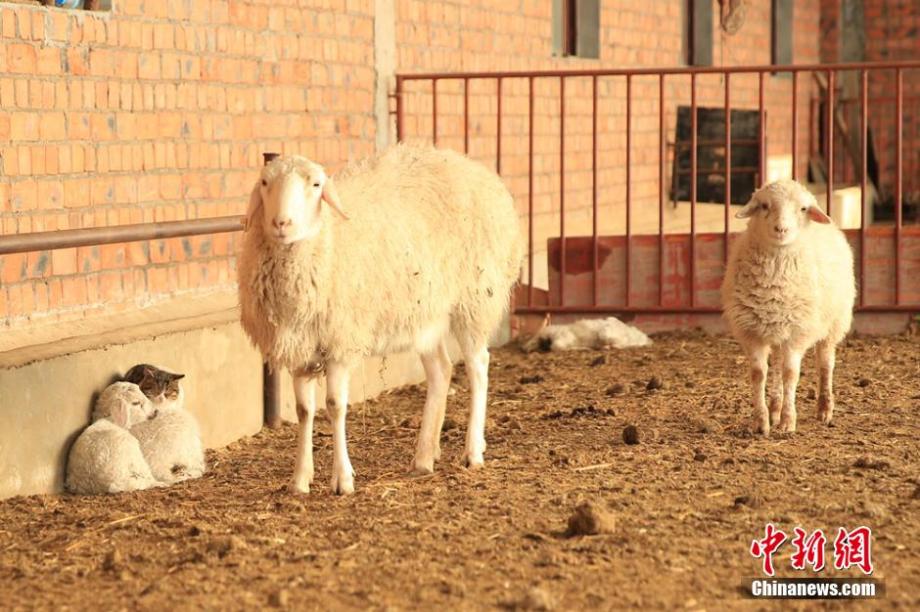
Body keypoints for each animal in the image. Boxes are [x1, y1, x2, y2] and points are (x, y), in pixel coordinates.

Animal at [239, 145, 524, 498]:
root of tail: (476, 169)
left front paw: (343, 479)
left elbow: (335, 405)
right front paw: (300, 479)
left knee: (478, 366)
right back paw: (424, 456)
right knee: (441, 371)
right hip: (425, 314)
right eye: (265, 182)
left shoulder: (341, 342)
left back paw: (472, 451)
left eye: (316, 185)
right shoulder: (301, 347)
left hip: (474, 298)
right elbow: (305, 411)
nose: (281, 222)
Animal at [720, 179, 856, 438]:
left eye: (803, 209)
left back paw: (824, 409)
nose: (781, 229)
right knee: (776, 368)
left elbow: (791, 374)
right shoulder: (752, 332)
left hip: (834, 322)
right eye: (764, 205)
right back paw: (774, 407)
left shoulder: (797, 332)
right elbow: (759, 374)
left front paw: (787, 422)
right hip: (775, 330)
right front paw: (761, 422)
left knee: (825, 362)